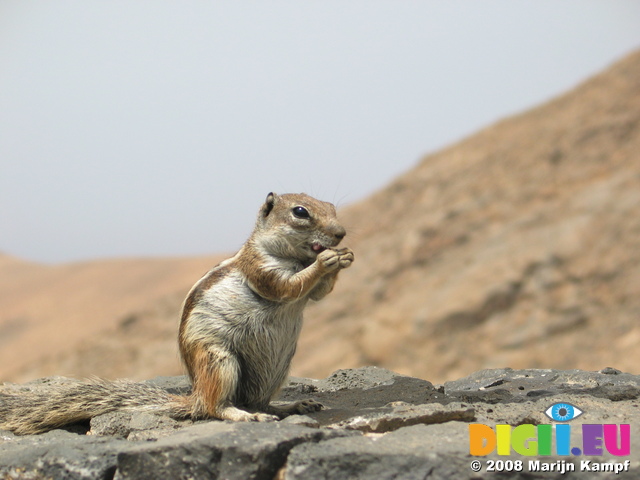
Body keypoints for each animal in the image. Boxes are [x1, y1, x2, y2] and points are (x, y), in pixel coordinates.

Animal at [0, 192, 356, 436]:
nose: (341, 234)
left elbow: (318, 294)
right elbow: (288, 287)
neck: (292, 256)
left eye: (332, 206)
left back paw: (292, 405)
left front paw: (344, 258)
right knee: (216, 408)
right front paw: (326, 261)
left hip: (277, 371)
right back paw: (246, 416)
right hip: (219, 361)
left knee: (258, 401)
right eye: (300, 212)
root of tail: (193, 395)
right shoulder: (260, 269)